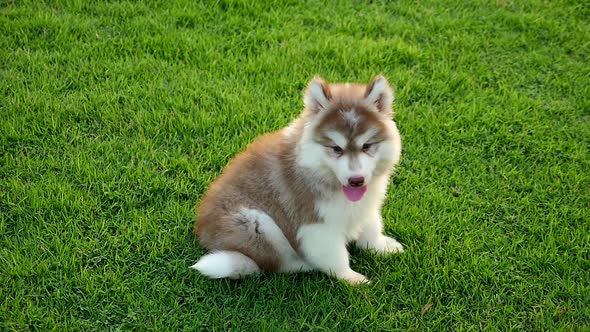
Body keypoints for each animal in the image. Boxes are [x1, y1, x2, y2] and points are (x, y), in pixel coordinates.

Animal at [192, 75, 404, 282]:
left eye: (367, 146)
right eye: (336, 149)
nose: (356, 180)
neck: (320, 173)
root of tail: (204, 234)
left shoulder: (366, 206)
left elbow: (371, 228)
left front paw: (382, 247)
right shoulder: (316, 225)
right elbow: (336, 256)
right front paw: (351, 278)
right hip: (256, 223)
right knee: (276, 264)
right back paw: (304, 265)